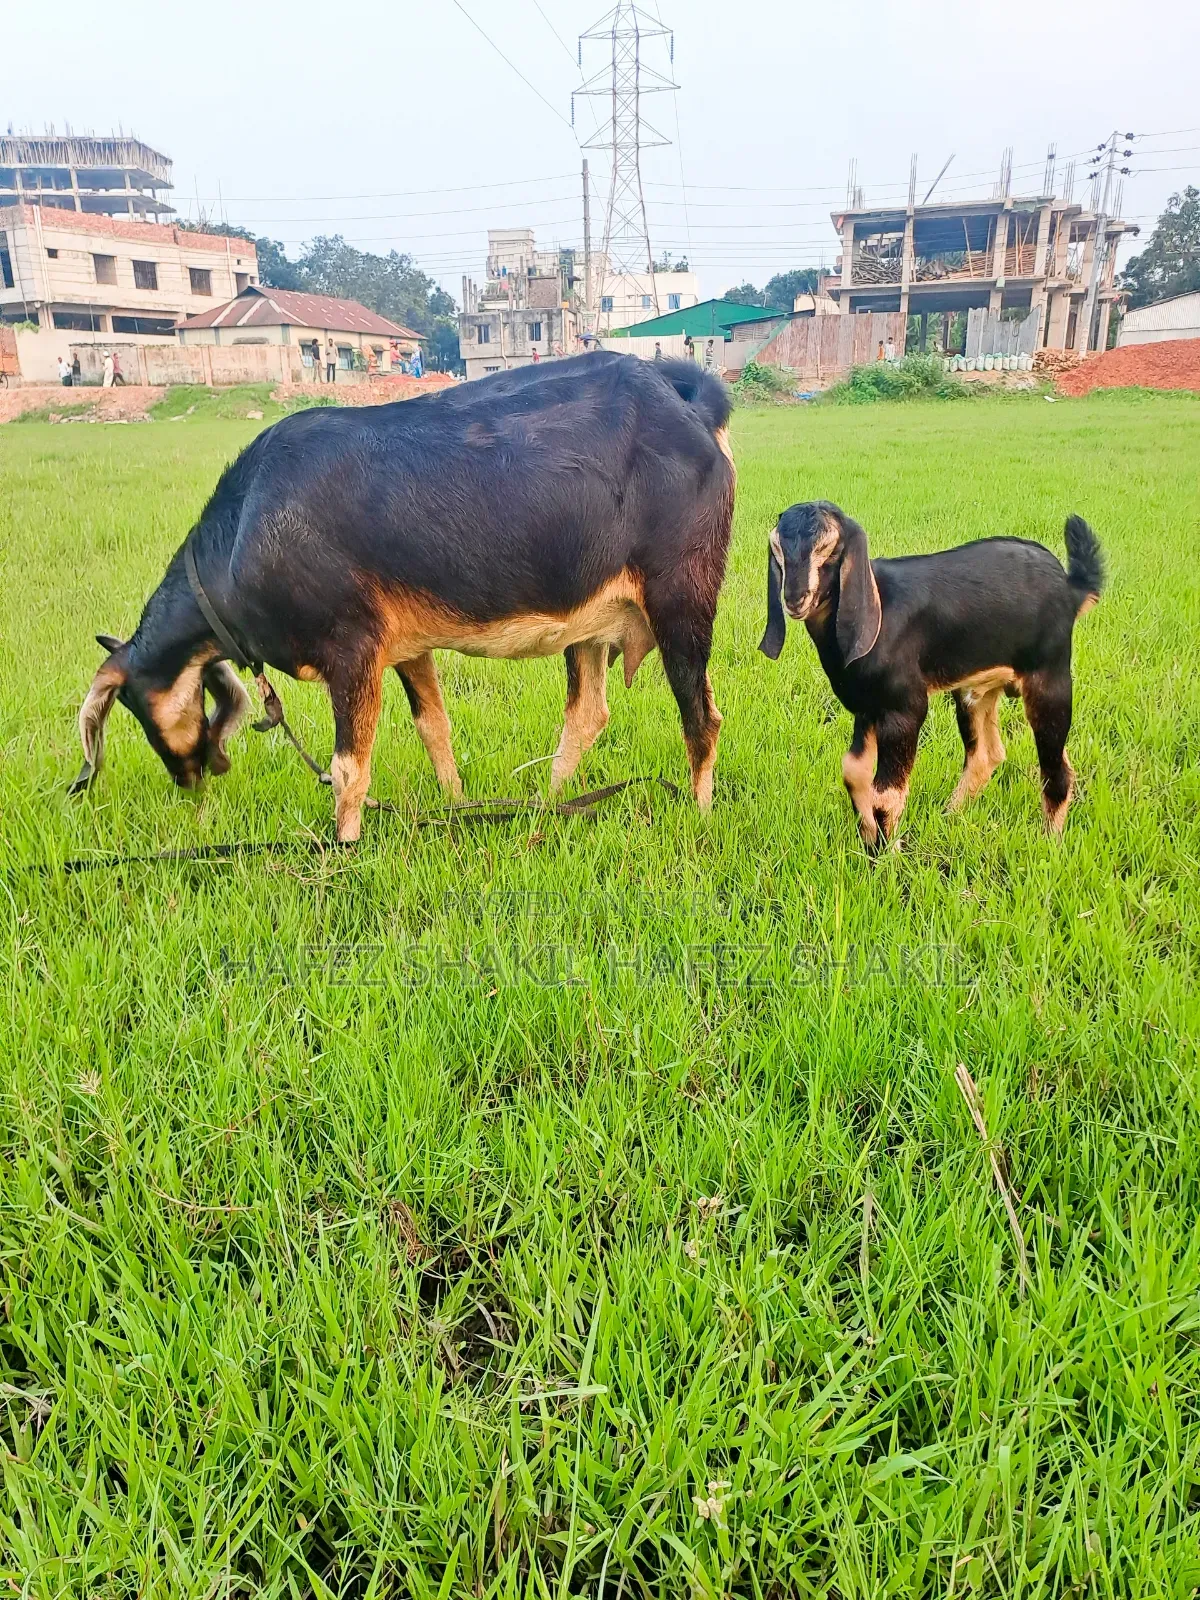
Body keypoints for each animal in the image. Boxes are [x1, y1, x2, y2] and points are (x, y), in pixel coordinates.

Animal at [72, 353, 735, 841]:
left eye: (133, 704)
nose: (192, 778)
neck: (243, 535)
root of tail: (689, 404)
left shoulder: (352, 646)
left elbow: (348, 769)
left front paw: (343, 850)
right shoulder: (406, 647)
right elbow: (433, 727)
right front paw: (456, 804)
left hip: (683, 594)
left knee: (700, 715)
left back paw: (699, 814)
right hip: (592, 618)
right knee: (589, 711)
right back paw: (550, 801)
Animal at [759, 501, 1104, 845]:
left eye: (829, 548)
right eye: (776, 547)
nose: (795, 599)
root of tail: (1071, 589)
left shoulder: (903, 708)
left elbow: (886, 794)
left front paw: (886, 853)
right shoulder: (868, 709)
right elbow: (853, 771)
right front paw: (868, 839)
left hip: (1049, 678)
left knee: (1056, 769)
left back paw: (1049, 842)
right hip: (975, 692)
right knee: (986, 756)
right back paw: (950, 817)